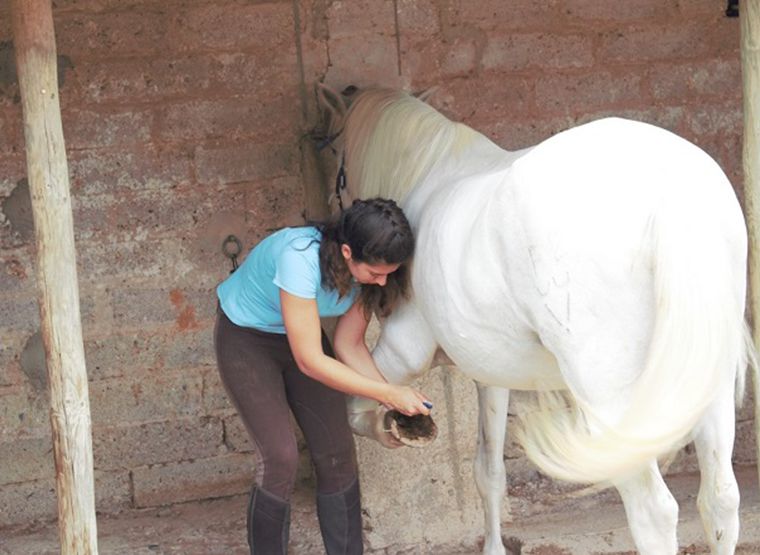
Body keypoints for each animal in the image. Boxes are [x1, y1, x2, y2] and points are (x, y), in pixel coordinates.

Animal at [314, 83, 756, 555]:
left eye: (333, 156)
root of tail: (670, 190)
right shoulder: (490, 375)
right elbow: (489, 472)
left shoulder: (402, 352)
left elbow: (357, 406)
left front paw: (396, 425)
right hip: (703, 384)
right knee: (720, 501)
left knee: (654, 512)